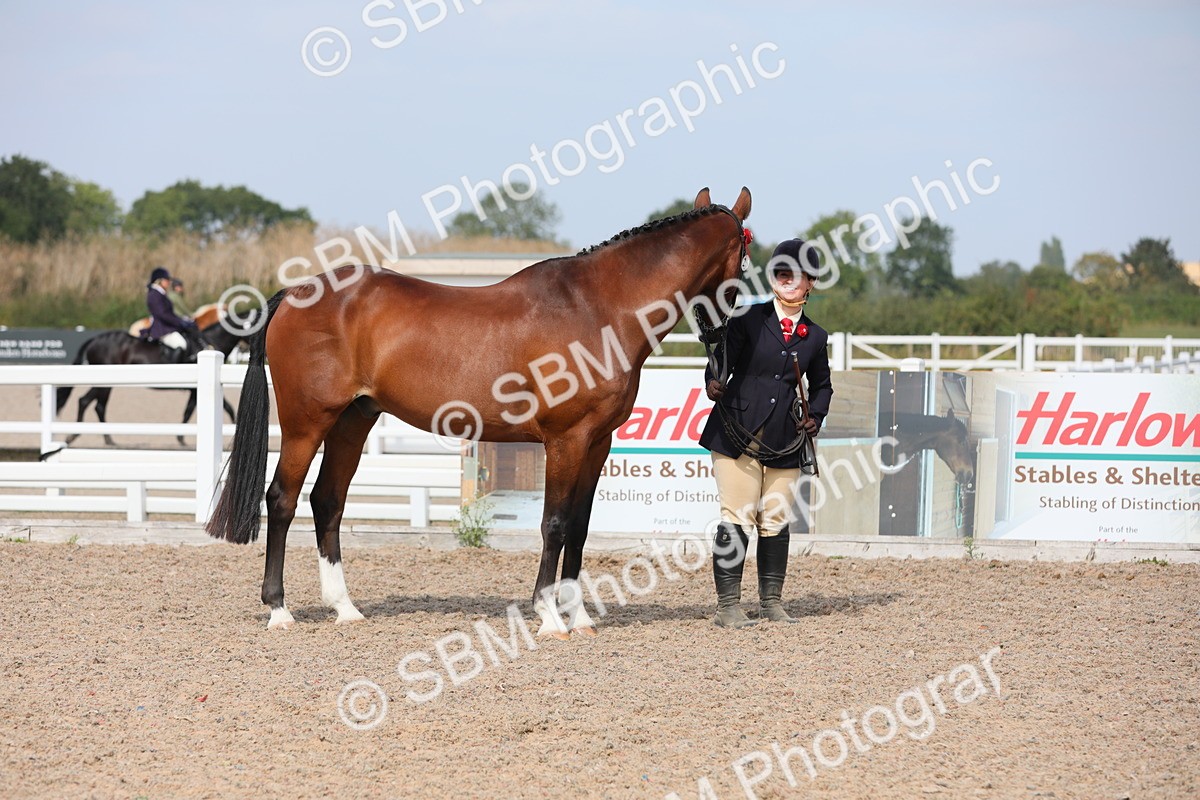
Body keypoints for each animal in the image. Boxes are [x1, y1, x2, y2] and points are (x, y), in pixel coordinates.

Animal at [54, 312, 260, 448]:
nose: (246, 350)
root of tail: (94, 340)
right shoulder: (197, 389)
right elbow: (224, 408)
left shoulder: (194, 390)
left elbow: (190, 410)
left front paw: (181, 438)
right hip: (104, 382)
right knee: (87, 402)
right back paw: (76, 436)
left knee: (96, 405)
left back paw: (106, 438)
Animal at [205, 187, 752, 635]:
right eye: (745, 266)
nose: (721, 360)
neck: (599, 308)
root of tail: (295, 294)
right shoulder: (566, 440)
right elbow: (554, 523)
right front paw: (549, 615)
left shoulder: (598, 441)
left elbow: (579, 527)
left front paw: (578, 615)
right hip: (307, 422)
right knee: (281, 499)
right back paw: (279, 610)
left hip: (352, 421)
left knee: (327, 502)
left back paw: (345, 608)